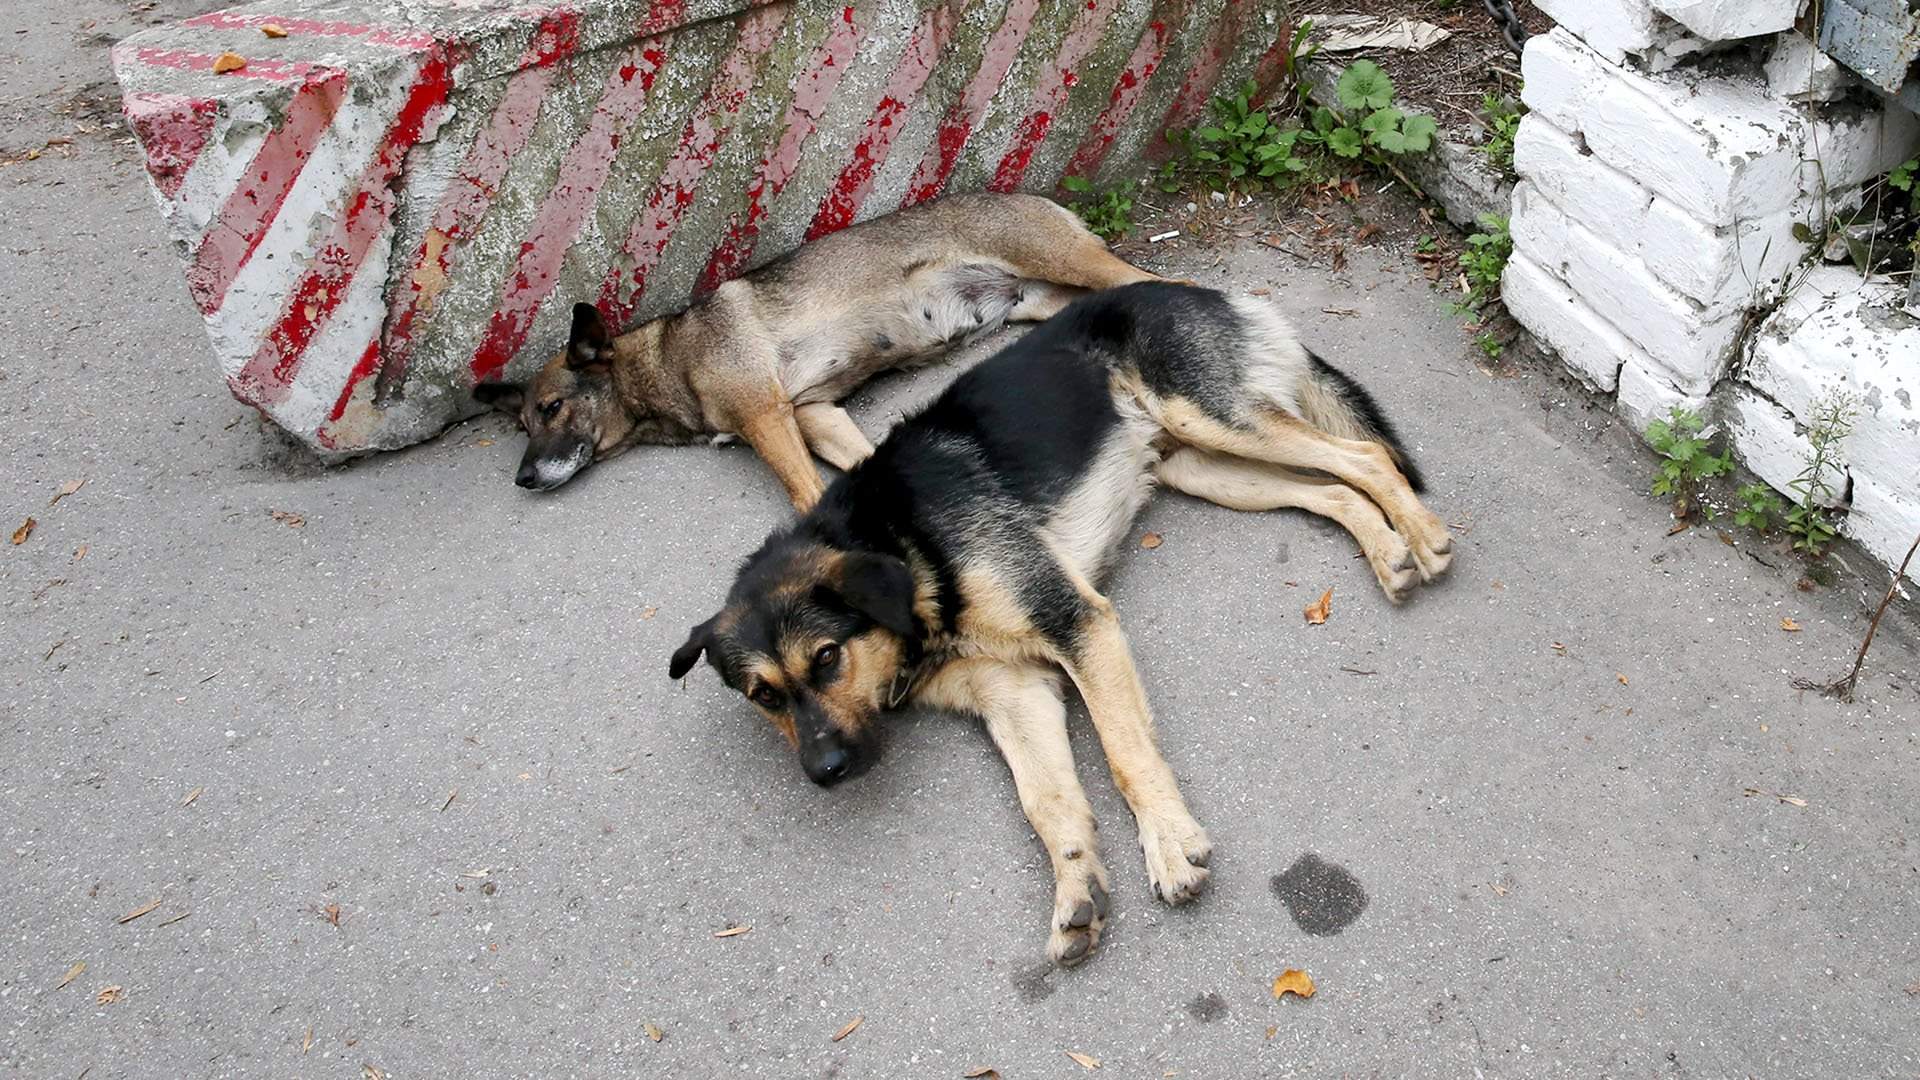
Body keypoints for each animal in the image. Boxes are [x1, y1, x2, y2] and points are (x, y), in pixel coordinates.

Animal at [472, 191, 1159, 503]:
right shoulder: (811, 414)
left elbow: (805, 491)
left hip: (1067, 261)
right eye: (525, 425)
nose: (523, 478)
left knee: (1152, 284)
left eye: (553, 408)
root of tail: (1028, 194)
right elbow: (861, 463)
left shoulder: (767, 418)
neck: (667, 359)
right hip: (1044, 299)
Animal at [668, 282, 1443, 960]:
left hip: (1212, 420)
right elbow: (1046, 801)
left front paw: (1168, 844)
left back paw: (1424, 534)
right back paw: (1387, 551)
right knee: (1331, 492)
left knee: (1365, 456)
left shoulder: (1080, 626)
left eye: (827, 658)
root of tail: (1196, 287)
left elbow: (1125, 754)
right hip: (1209, 468)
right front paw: (1077, 887)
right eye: (764, 696)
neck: (898, 544)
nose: (826, 773)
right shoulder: (1014, 693)